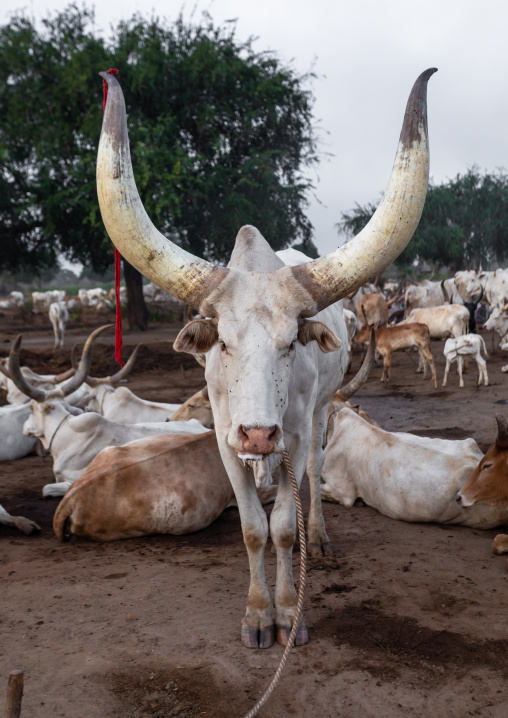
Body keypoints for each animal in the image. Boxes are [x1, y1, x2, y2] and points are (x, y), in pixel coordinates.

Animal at [97, 68, 435, 648]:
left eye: (291, 342)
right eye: (222, 344)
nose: (259, 433)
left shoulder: (293, 434)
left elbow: (280, 529)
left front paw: (286, 614)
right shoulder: (225, 436)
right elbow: (253, 527)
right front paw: (257, 615)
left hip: (319, 414)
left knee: (312, 477)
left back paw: (316, 536)